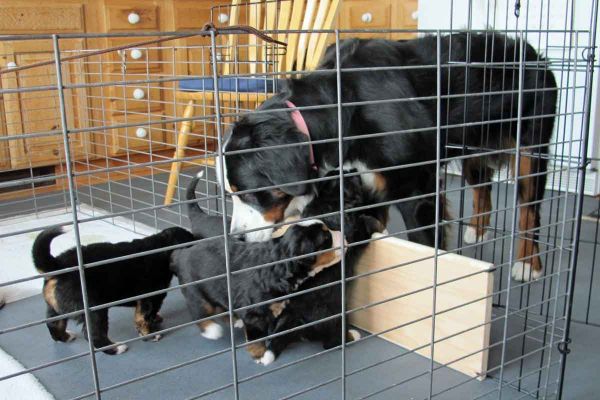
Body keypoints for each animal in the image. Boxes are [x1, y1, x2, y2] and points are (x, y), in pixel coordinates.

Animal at [32, 227, 195, 354]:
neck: (161, 247)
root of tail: (58, 265)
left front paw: (156, 320)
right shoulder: (150, 297)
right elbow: (144, 317)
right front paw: (151, 334)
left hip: (55, 307)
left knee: (54, 324)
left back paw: (65, 337)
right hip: (94, 309)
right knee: (94, 334)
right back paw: (116, 348)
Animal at [218, 32, 556, 282]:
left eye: (248, 193)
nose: (236, 238)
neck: (344, 109)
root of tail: (529, 50)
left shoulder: (416, 188)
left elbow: (425, 246)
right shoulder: (363, 184)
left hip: (530, 151)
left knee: (530, 210)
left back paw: (529, 264)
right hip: (471, 146)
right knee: (482, 187)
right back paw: (477, 229)